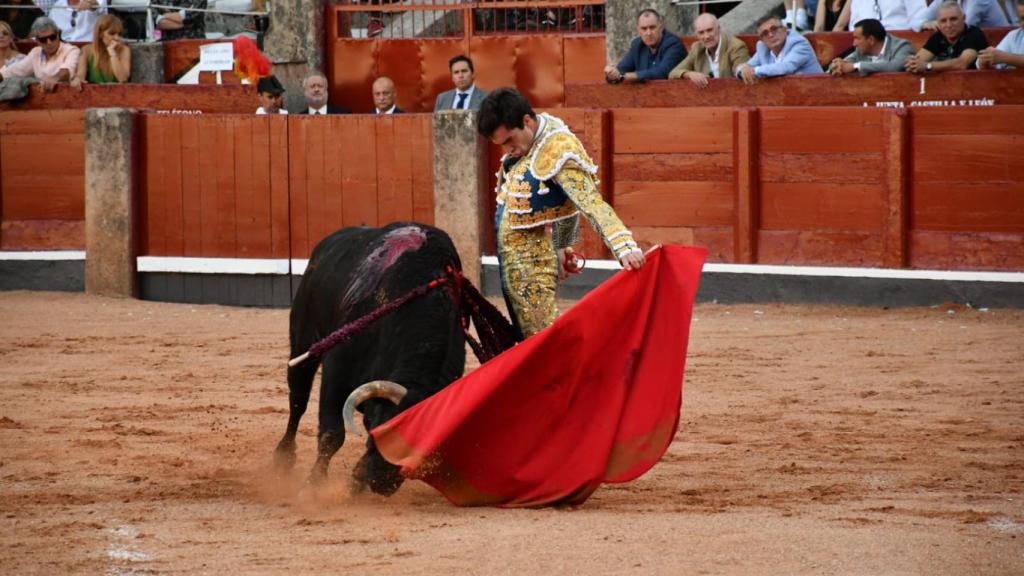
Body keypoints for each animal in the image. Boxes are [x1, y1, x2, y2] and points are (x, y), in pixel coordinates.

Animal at [274, 222, 516, 491]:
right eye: (380, 427)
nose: (382, 483)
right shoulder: (338, 368)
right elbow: (332, 433)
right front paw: (313, 486)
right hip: (303, 339)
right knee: (298, 400)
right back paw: (283, 458)